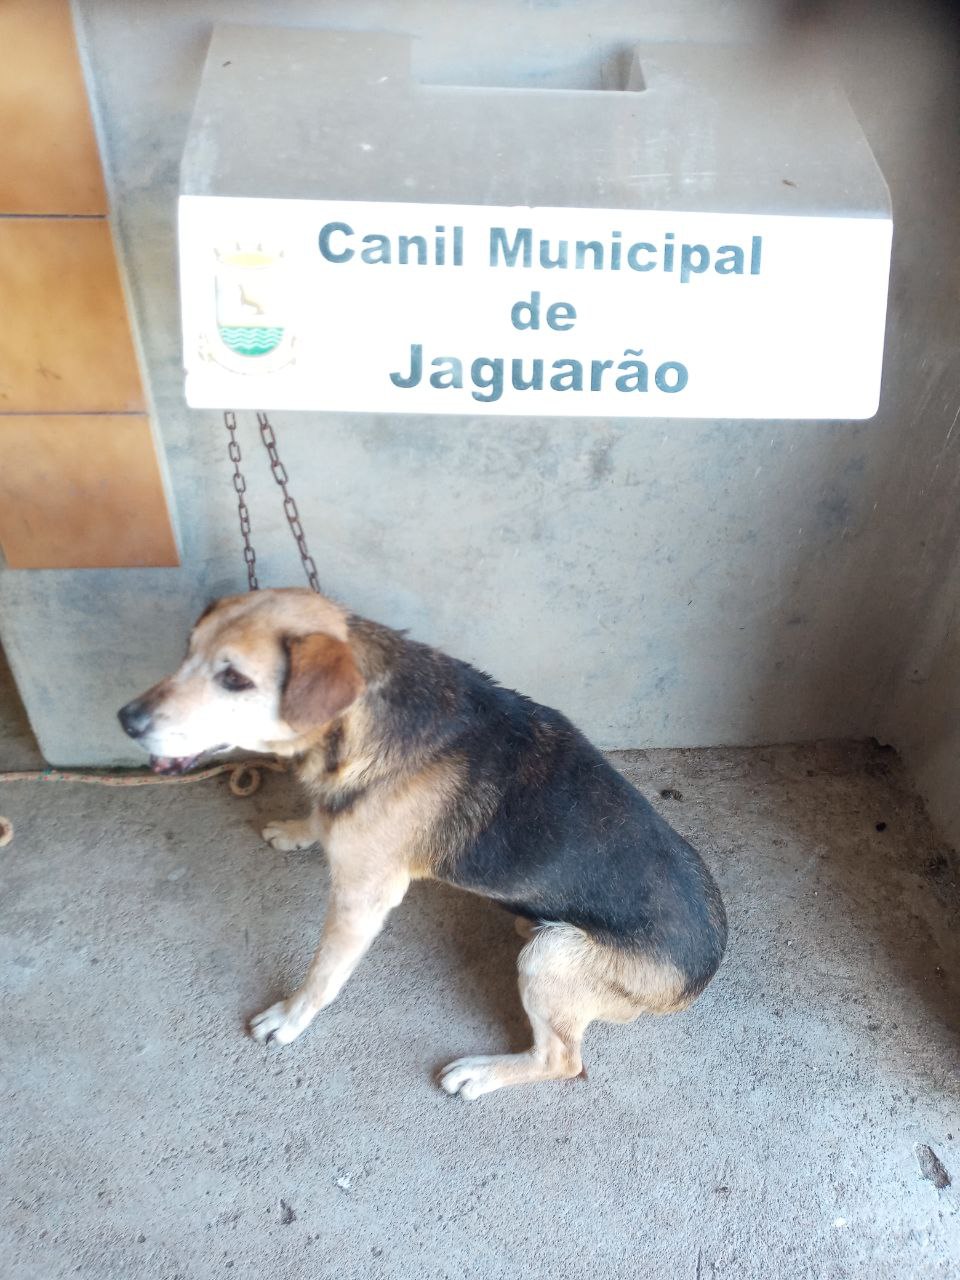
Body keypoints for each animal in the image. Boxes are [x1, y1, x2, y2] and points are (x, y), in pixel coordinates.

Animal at [118, 588, 726, 1099]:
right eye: (186, 652)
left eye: (235, 679)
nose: (127, 719)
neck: (364, 720)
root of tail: (703, 974)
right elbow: (323, 814)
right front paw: (298, 829)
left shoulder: (362, 900)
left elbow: (322, 976)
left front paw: (290, 1018)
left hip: (551, 958)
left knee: (562, 1060)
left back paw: (482, 1073)